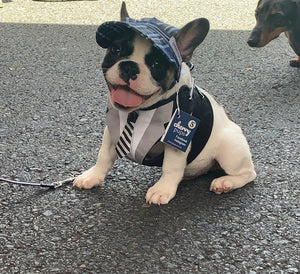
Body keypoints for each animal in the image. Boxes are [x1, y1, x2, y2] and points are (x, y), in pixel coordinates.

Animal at [72, 1, 255, 203]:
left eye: (157, 65)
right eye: (116, 50)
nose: (130, 66)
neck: (138, 113)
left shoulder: (176, 142)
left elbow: (171, 166)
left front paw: (163, 189)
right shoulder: (112, 131)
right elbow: (103, 155)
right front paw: (93, 176)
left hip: (230, 149)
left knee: (248, 173)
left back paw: (225, 182)